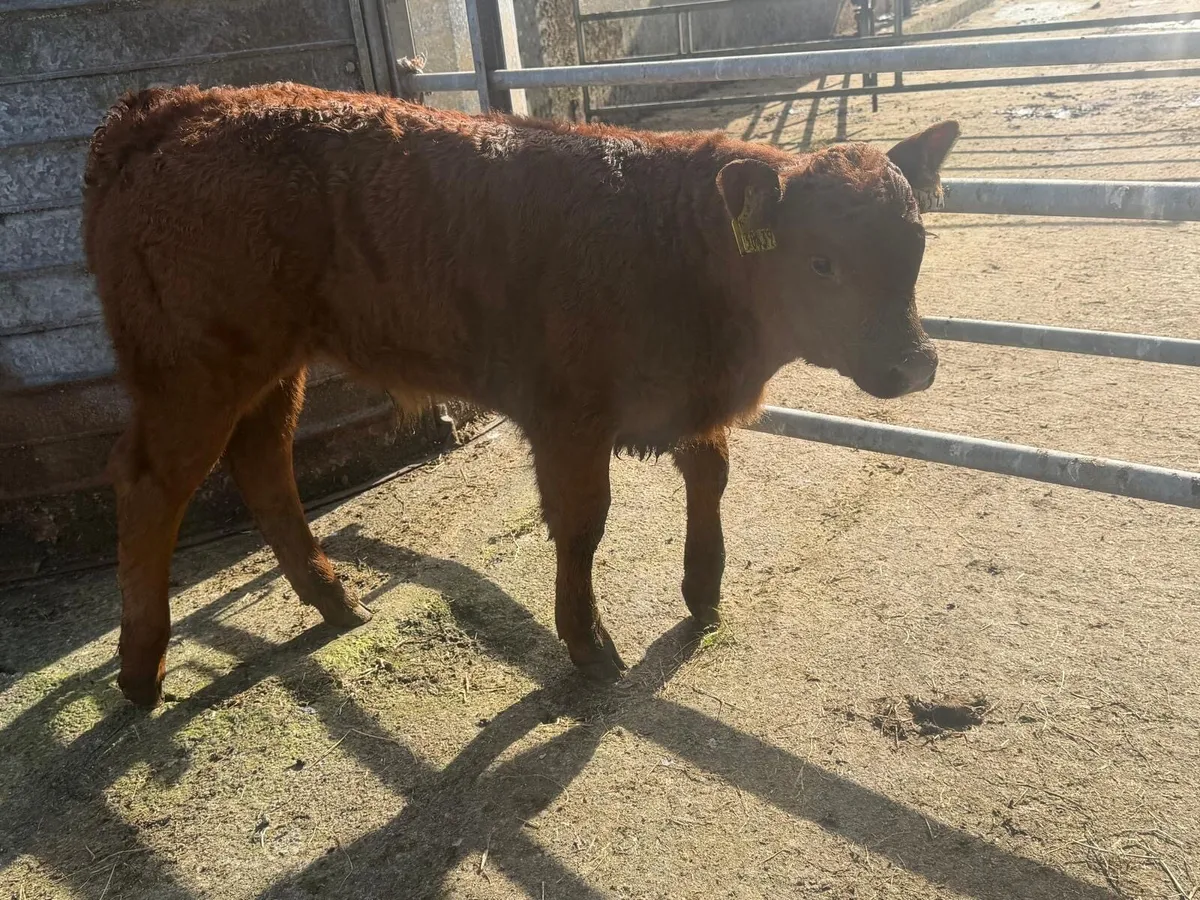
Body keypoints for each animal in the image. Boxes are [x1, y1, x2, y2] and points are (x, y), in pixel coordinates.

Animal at [82, 83, 958, 708]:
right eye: (822, 261)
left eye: (916, 243)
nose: (916, 364)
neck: (672, 237)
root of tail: (172, 106)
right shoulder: (568, 417)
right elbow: (582, 525)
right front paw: (590, 645)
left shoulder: (688, 398)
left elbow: (709, 476)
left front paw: (703, 594)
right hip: (194, 372)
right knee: (151, 485)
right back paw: (140, 674)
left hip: (274, 368)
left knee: (264, 466)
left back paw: (337, 603)